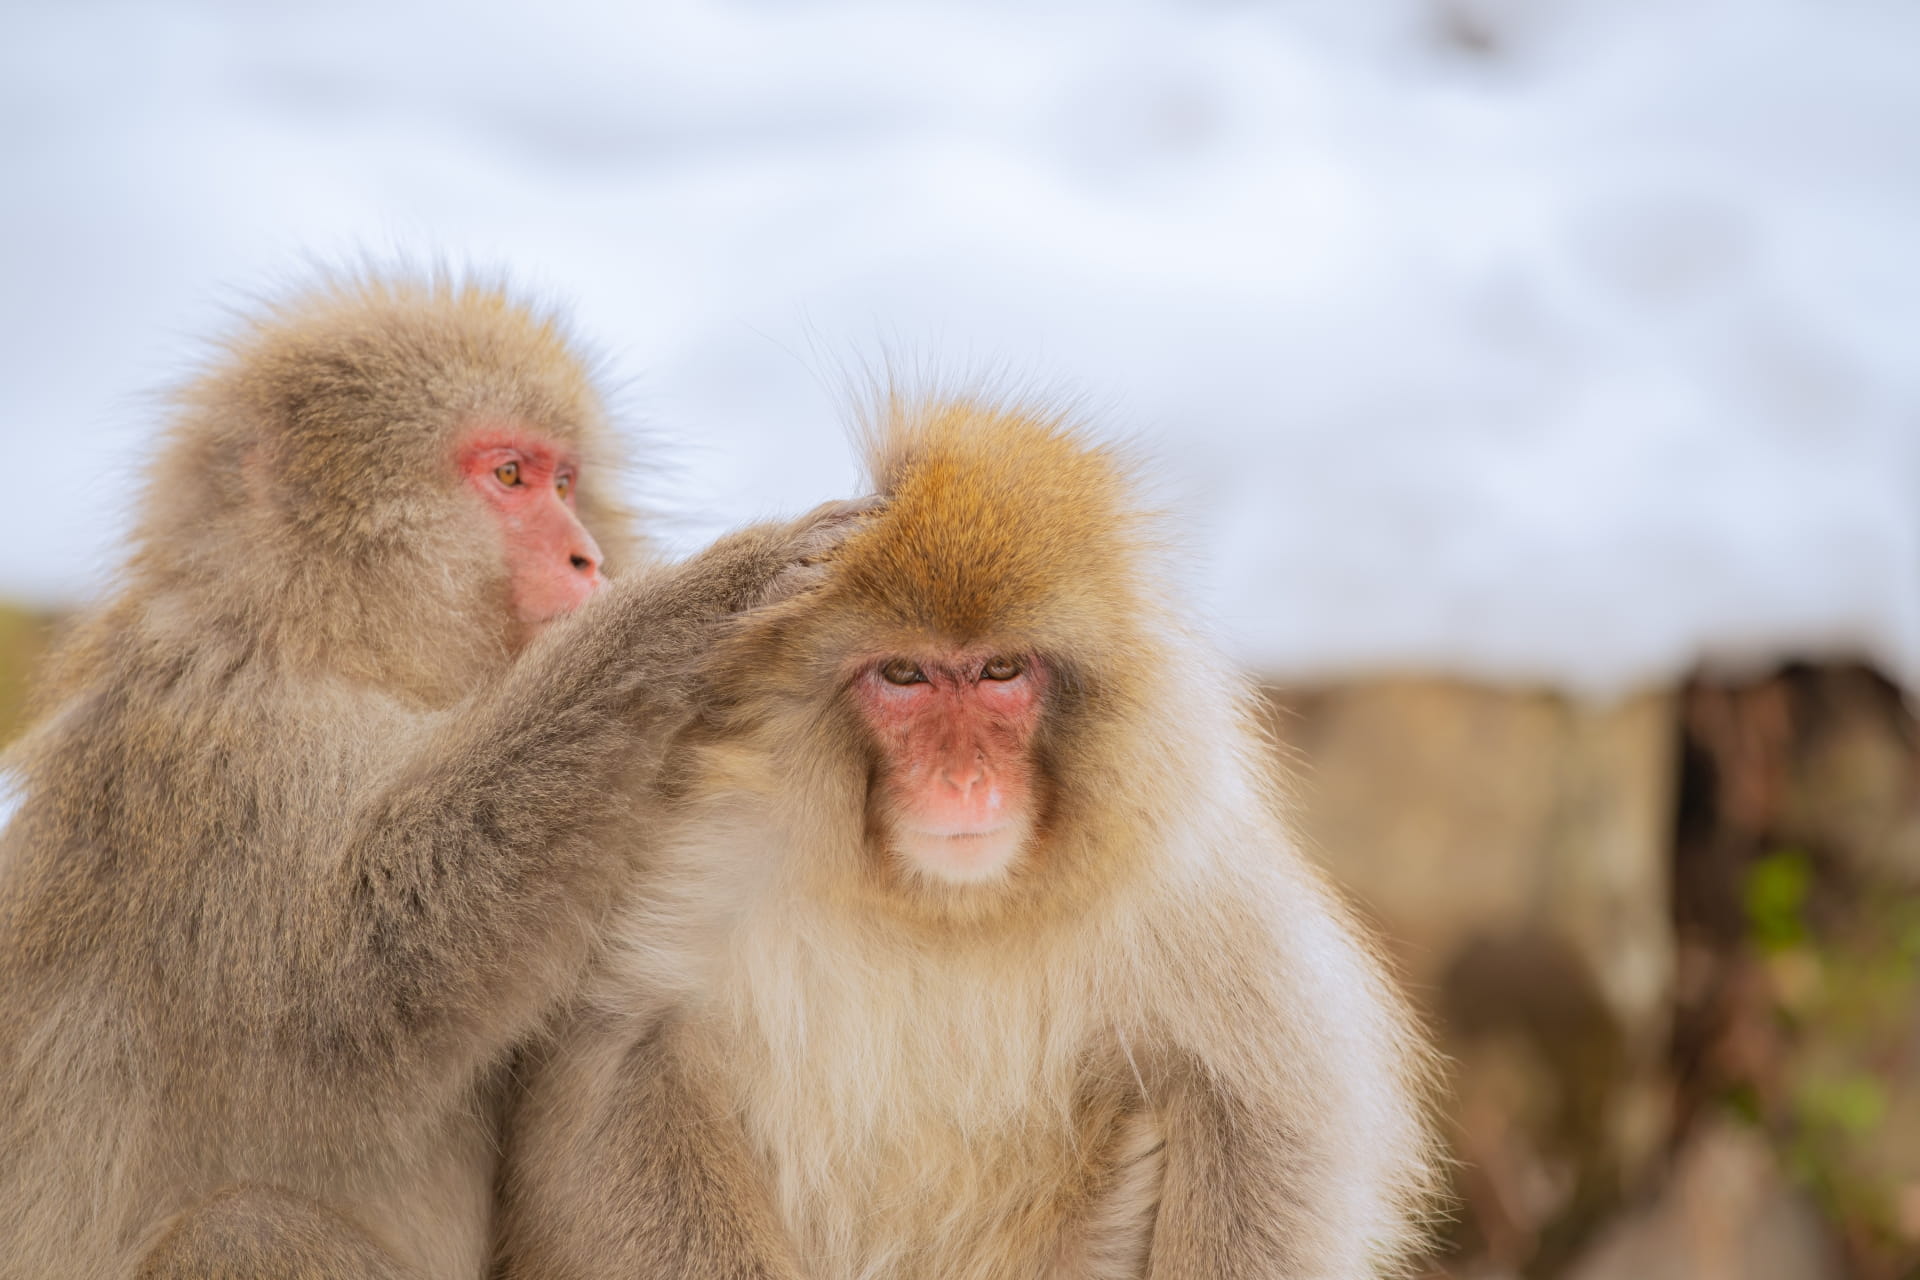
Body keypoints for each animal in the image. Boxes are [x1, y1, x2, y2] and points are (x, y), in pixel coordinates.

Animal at [0, 274, 863, 1280]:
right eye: (509, 477)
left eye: (565, 482)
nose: (588, 557)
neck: (318, 642)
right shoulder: (214, 750)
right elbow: (353, 988)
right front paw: (699, 607)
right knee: (245, 1231)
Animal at [494, 396, 1442, 1279]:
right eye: (905, 673)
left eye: (999, 670)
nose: (963, 782)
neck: (943, 906)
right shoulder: (704, 850)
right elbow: (629, 1057)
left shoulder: (1189, 878)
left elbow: (1267, 1113)